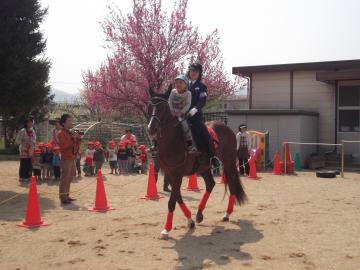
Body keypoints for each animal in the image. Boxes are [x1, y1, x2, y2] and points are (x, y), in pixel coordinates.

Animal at [148, 94, 246, 238]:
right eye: (149, 106)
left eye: (164, 108)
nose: (151, 128)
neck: (172, 141)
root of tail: (224, 125)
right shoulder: (170, 174)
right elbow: (177, 197)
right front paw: (190, 221)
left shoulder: (177, 175)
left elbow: (172, 201)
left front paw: (167, 229)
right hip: (204, 168)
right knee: (210, 184)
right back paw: (199, 214)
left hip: (228, 162)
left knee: (232, 184)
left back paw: (227, 214)